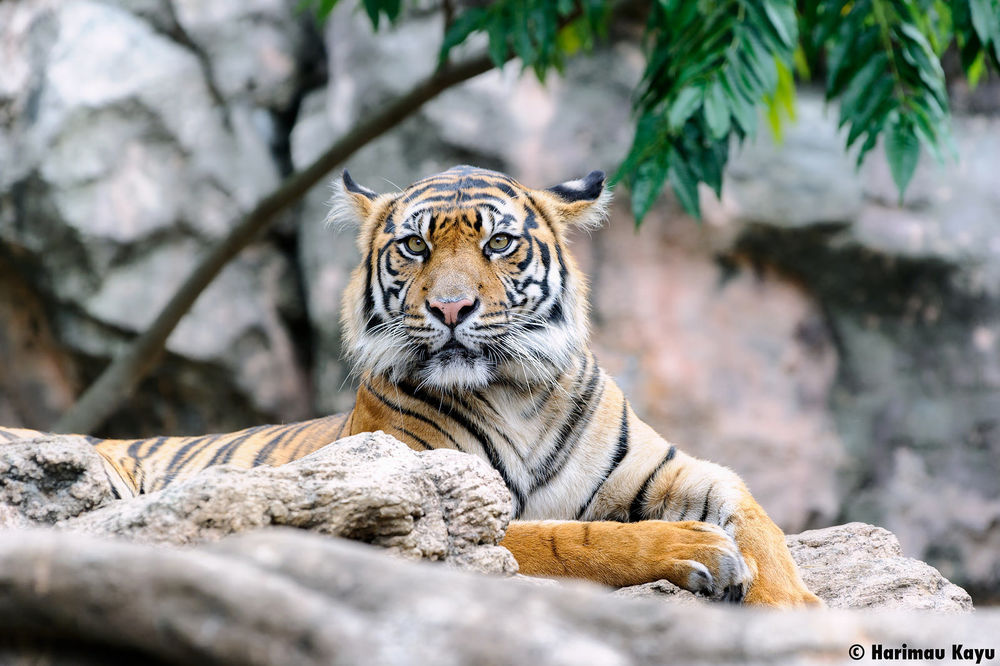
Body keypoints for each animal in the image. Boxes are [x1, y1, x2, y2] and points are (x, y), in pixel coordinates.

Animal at [1, 165, 820, 606]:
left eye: (499, 243)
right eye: (415, 247)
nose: (451, 308)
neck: (517, 393)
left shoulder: (675, 469)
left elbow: (757, 519)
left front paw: (795, 604)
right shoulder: (439, 502)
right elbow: (572, 536)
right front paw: (695, 550)